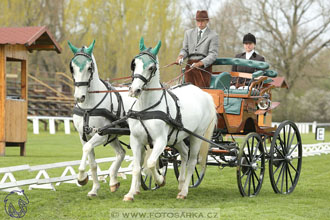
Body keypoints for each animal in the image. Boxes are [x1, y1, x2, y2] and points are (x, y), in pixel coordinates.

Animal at [67, 40, 135, 197]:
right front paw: (94, 189)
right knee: (121, 153)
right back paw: (113, 181)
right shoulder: (84, 135)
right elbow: (92, 163)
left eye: (89, 67)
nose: (79, 97)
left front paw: (81, 177)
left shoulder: (101, 134)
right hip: (114, 135)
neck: (88, 107)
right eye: (72, 67)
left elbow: (86, 149)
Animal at [124, 37, 217, 200]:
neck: (146, 109)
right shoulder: (135, 140)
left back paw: (184, 191)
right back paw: (181, 183)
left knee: (192, 161)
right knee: (184, 154)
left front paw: (160, 180)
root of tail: (203, 93)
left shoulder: (160, 141)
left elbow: (151, 163)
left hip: (196, 136)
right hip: (177, 137)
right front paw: (130, 194)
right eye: (134, 64)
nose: (134, 90)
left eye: (151, 68)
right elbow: (136, 167)